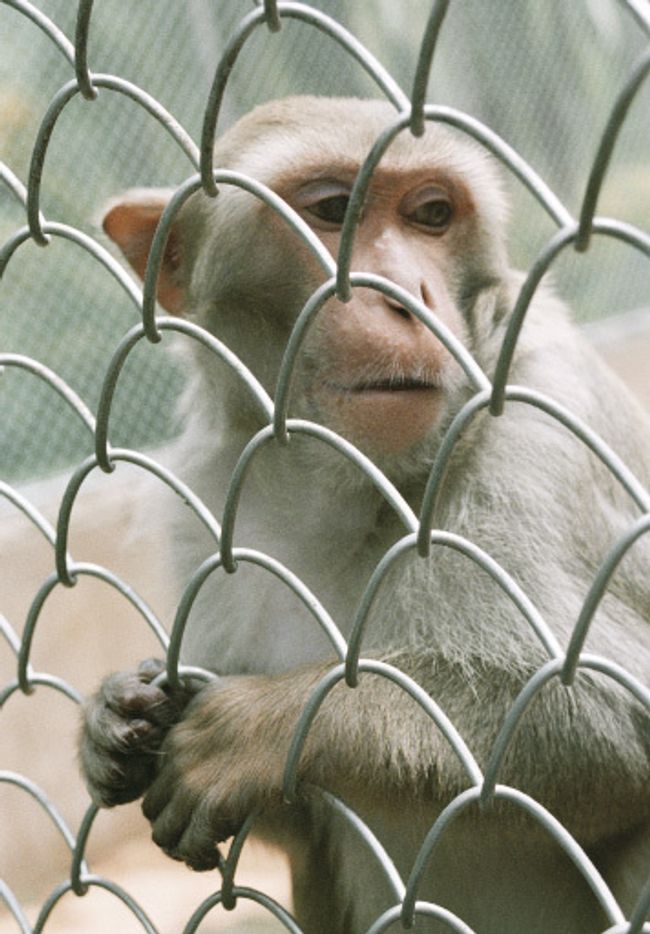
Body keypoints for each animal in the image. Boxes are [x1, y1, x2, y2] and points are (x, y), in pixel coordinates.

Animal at [80, 96, 650, 933]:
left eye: (433, 215)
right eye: (329, 210)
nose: (406, 294)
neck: (345, 488)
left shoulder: (540, 433)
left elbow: (608, 717)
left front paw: (264, 725)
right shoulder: (212, 501)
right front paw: (114, 714)